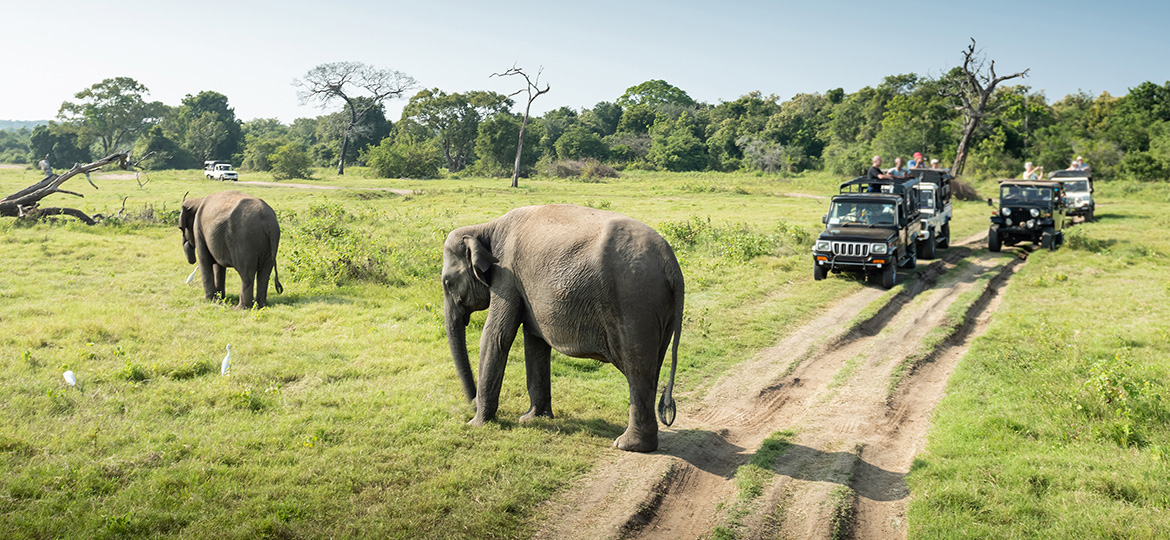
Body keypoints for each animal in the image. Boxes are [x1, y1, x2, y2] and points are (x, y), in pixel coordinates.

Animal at [441, 204, 684, 452]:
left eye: (447, 283)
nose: (471, 402)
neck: (485, 228)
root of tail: (672, 265)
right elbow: (535, 341)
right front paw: (532, 419)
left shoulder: (506, 274)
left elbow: (496, 336)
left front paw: (476, 424)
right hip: (659, 310)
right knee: (651, 368)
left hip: (635, 303)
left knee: (637, 369)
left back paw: (627, 445)